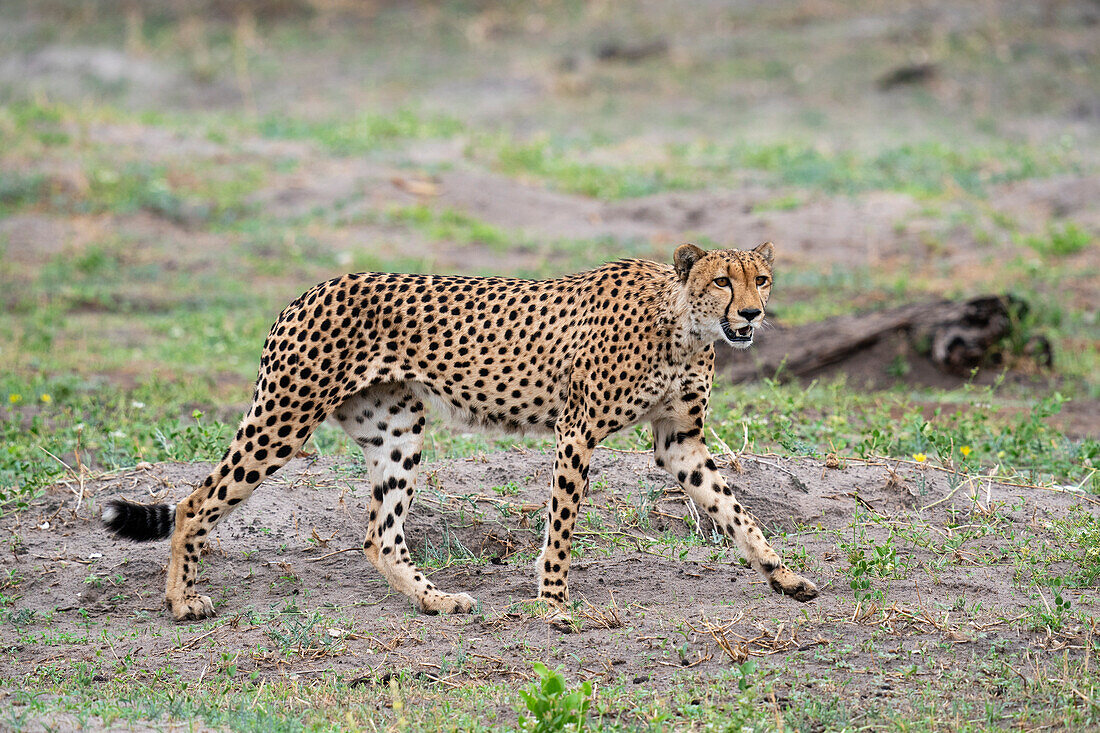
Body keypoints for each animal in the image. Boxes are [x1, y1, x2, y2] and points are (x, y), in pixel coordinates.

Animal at [105, 242, 818, 620]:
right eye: (722, 281)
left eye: (761, 279)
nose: (751, 314)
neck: (684, 326)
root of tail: (311, 288)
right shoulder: (577, 431)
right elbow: (562, 526)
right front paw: (554, 604)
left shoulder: (680, 441)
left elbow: (736, 511)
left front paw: (783, 576)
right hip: (284, 418)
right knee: (195, 501)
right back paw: (181, 602)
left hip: (396, 429)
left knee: (379, 536)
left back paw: (437, 601)